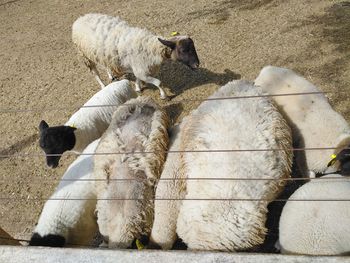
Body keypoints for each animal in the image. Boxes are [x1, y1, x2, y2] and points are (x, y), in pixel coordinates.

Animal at [72, 12, 200, 99]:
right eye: (183, 50)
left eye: (193, 48)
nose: (197, 64)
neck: (150, 47)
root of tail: (80, 19)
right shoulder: (141, 70)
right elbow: (158, 82)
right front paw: (164, 95)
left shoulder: (139, 68)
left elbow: (138, 78)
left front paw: (138, 87)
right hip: (85, 56)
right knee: (95, 73)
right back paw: (103, 86)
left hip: (101, 54)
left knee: (105, 65)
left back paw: (111, 75)